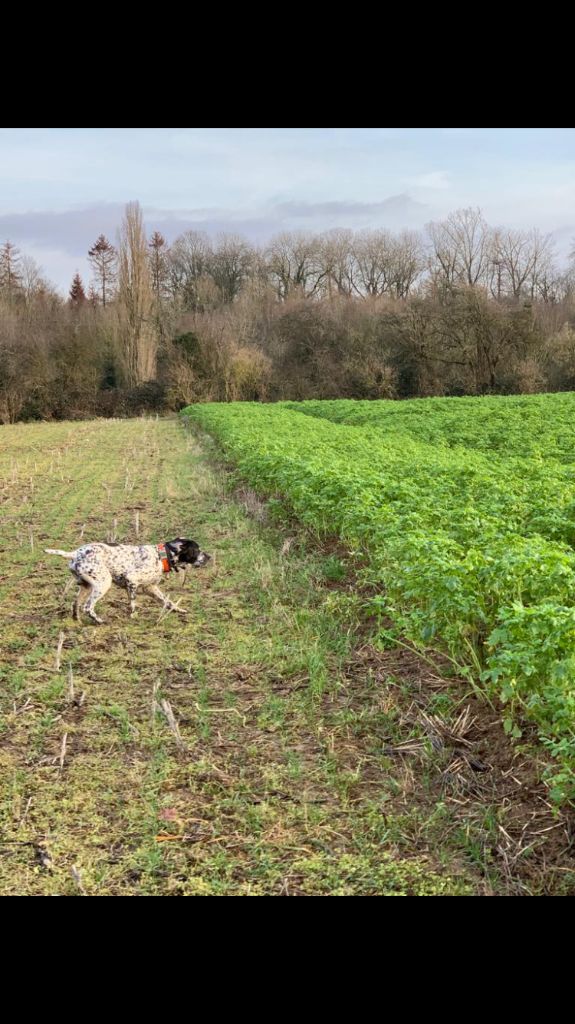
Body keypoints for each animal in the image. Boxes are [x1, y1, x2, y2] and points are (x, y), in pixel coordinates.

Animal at [45, 539, 211, 624]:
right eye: (197, 550)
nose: (209, 556)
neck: (161, 555)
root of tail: (74, 554)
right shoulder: (132, 580)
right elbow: (133, 603)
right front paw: (133, 616)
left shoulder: (150, 588)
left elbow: (167, 601)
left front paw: (178, 610)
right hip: (103, 582)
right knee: (88, 607)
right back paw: (100, 621)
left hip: (86, 586)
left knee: (75, 605)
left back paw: (77, 621)